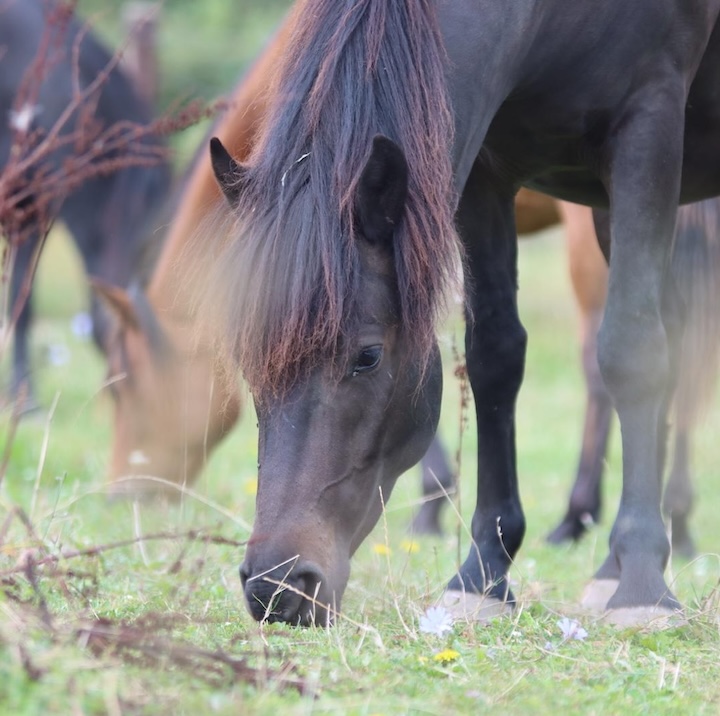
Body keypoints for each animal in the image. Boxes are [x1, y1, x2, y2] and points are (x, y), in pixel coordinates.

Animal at [202, 0, 720, 627]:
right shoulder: (483, 168)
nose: (276, 586)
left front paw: (644, 584)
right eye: (245, 358)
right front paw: (483, 576)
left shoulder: (649, 126)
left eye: (367, 357)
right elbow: (494, 357)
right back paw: (606, 570)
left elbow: (632, 352)